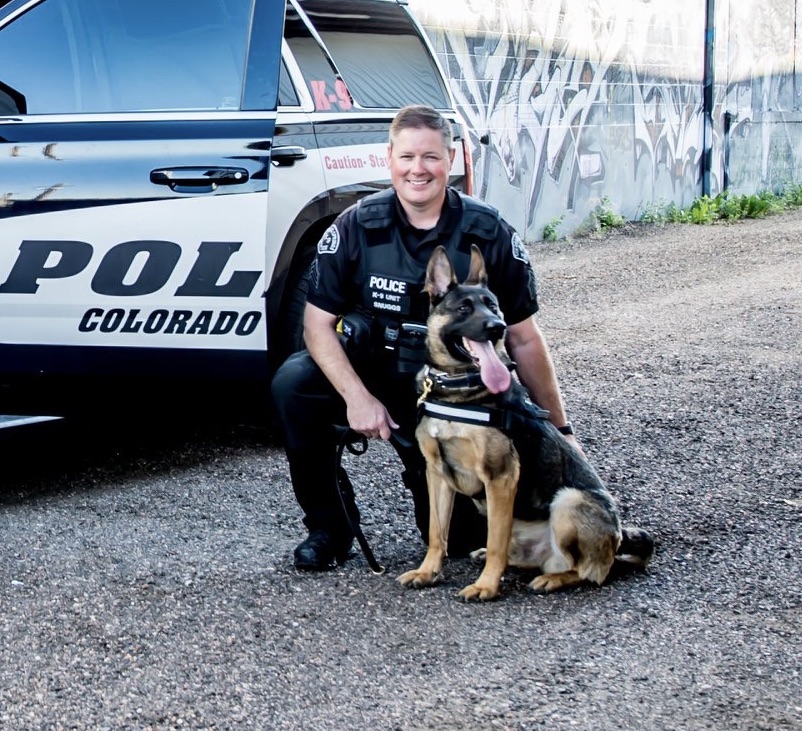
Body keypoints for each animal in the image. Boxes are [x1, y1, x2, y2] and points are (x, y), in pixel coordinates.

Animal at [397, 244, 654, 601]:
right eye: (464, 308)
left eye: (494, 306)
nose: (498, 327)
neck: (458, 390)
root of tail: (617, 543)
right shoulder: (437, 474)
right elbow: (438, 533)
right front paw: (427, 572)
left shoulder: (500, 477)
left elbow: (495, 542)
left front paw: (486, 587)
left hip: (568, 501)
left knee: (589, 572)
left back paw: (552, 579)